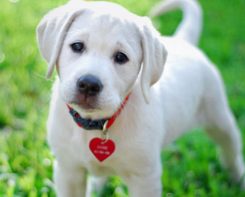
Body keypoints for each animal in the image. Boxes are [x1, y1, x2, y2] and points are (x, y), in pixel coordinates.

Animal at [36, 0, 245, 195]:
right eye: (77, 46)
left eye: (121, 57)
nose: (89, 84)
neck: (98, 123)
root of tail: (183, 41)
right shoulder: (68, 170)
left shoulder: (145, 178)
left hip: (219, 117)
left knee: (230, 151)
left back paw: (239, 179)